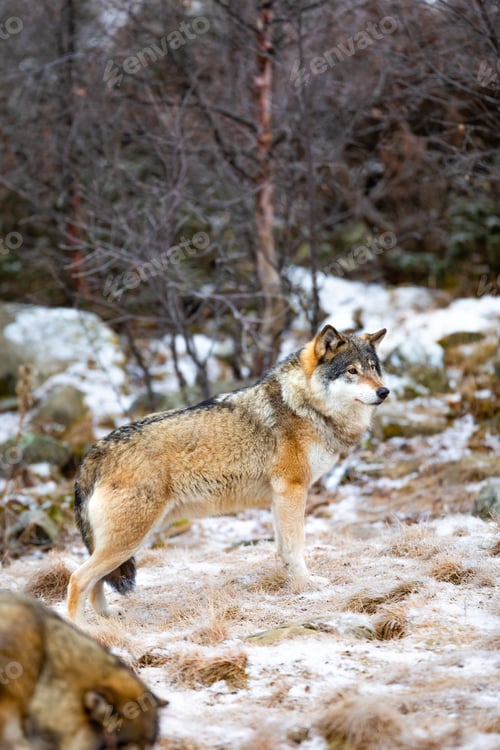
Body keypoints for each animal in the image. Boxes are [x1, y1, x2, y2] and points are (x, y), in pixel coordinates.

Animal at [67, 325, 389, 621]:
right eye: (351, 371)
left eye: (373, 368)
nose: (384, 391)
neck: (304, 405)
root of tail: (95, 451)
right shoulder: (293, 489)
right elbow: (296, 547)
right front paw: (306, 584)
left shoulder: (279, 498)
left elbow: (283, 549)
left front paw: (292, 583)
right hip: (128, 541)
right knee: (77, 580)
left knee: (94, 584)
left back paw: (108, 620)